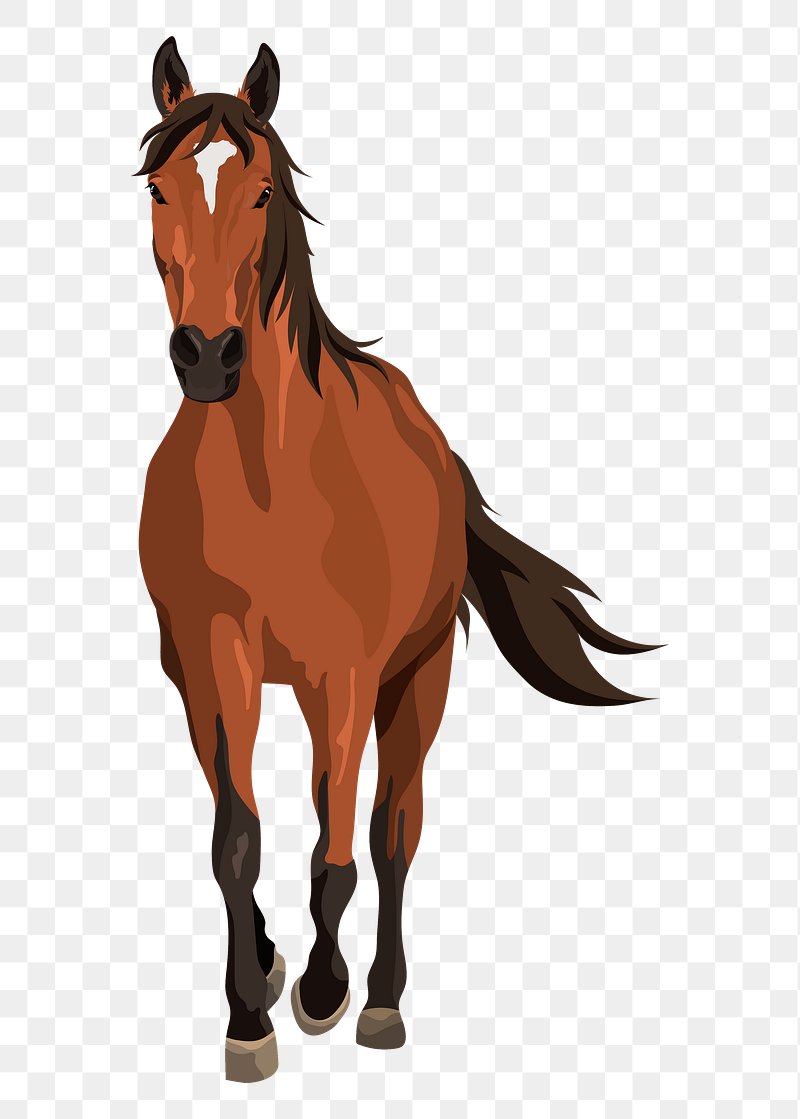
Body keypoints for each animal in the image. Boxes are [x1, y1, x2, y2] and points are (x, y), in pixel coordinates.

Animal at [137, 38, 658, 1082]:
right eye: (161, 189)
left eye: (261, 191)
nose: (208, 355)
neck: (267, 482)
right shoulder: (212, 661)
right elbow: (236, 838)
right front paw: (248, 1010)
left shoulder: (347, 671)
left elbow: (339, 851)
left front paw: (323, 991)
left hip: (413, 677)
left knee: (387, 832)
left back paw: (377, 996)